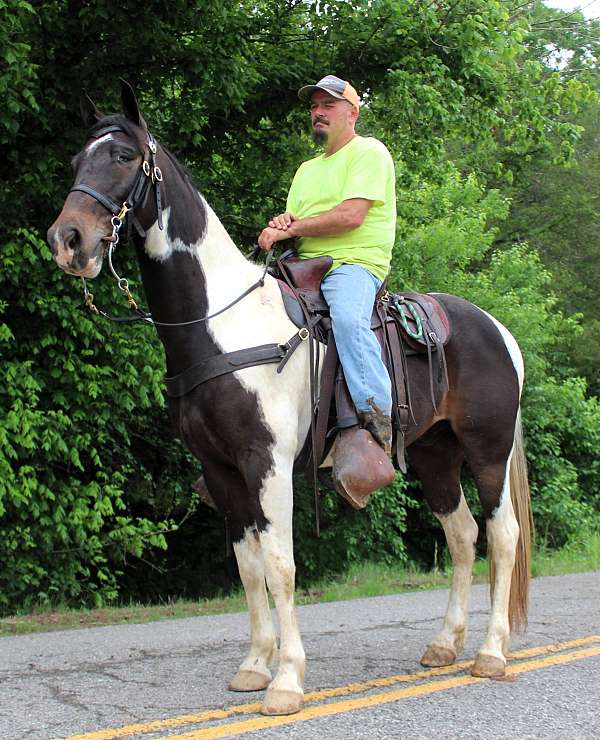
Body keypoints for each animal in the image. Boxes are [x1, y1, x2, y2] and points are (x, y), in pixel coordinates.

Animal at [47, 82, 531, 717]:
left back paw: (491, 653)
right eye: (76, 162)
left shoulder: (268, 462)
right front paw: (255, 667)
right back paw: (444, 645)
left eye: (124, 156)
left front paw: (287, 681)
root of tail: (500, 332)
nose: (67, 241)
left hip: (487, 451)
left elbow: (280, 565)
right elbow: (248, 567)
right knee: (462, 536)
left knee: (501, 536)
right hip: (435, 456)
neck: (221, 324)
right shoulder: (222, 469)